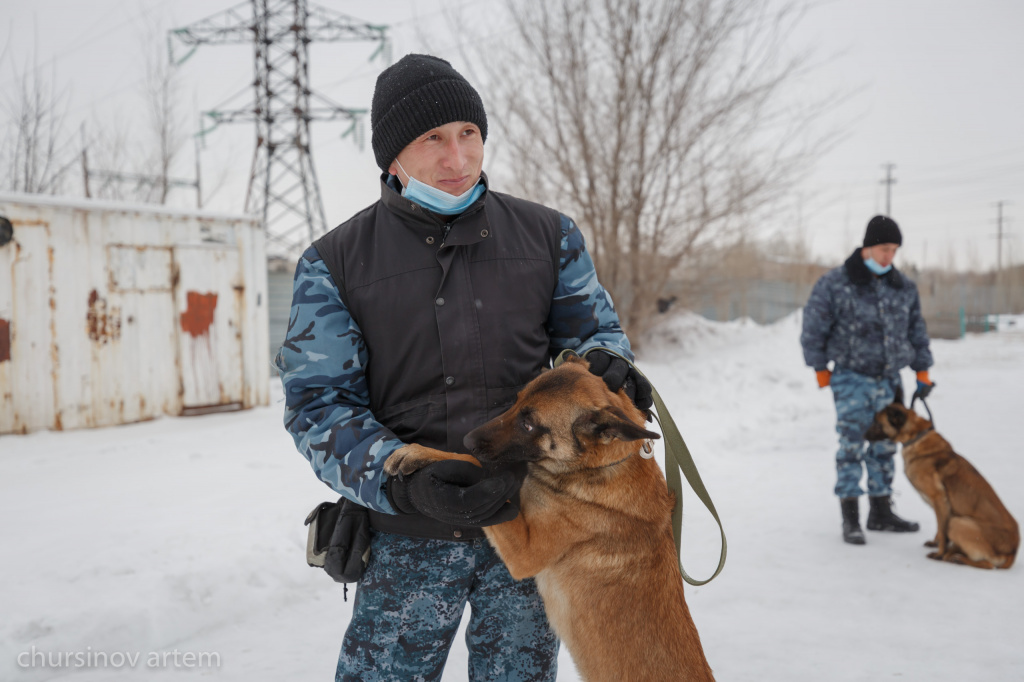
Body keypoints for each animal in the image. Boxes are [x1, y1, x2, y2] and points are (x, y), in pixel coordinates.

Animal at [385, 356, 712, 679]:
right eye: (516, 401)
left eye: (529, 424)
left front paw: (426, 454)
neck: (601, 466)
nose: (467, 439)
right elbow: (479, 466)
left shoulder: (523, 551)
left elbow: (478, 469)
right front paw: (423, 453)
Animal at [864, 399, 1015, 569]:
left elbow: (942, 531)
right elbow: (939, 526)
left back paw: (958, 559)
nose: (862, 434)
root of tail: (1012, 552)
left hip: (958, 522)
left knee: (988, 564)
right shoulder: (939, 504)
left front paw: (939, 553)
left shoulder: (939, 498)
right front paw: (935, 543)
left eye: (877, 422)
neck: (916, 437)